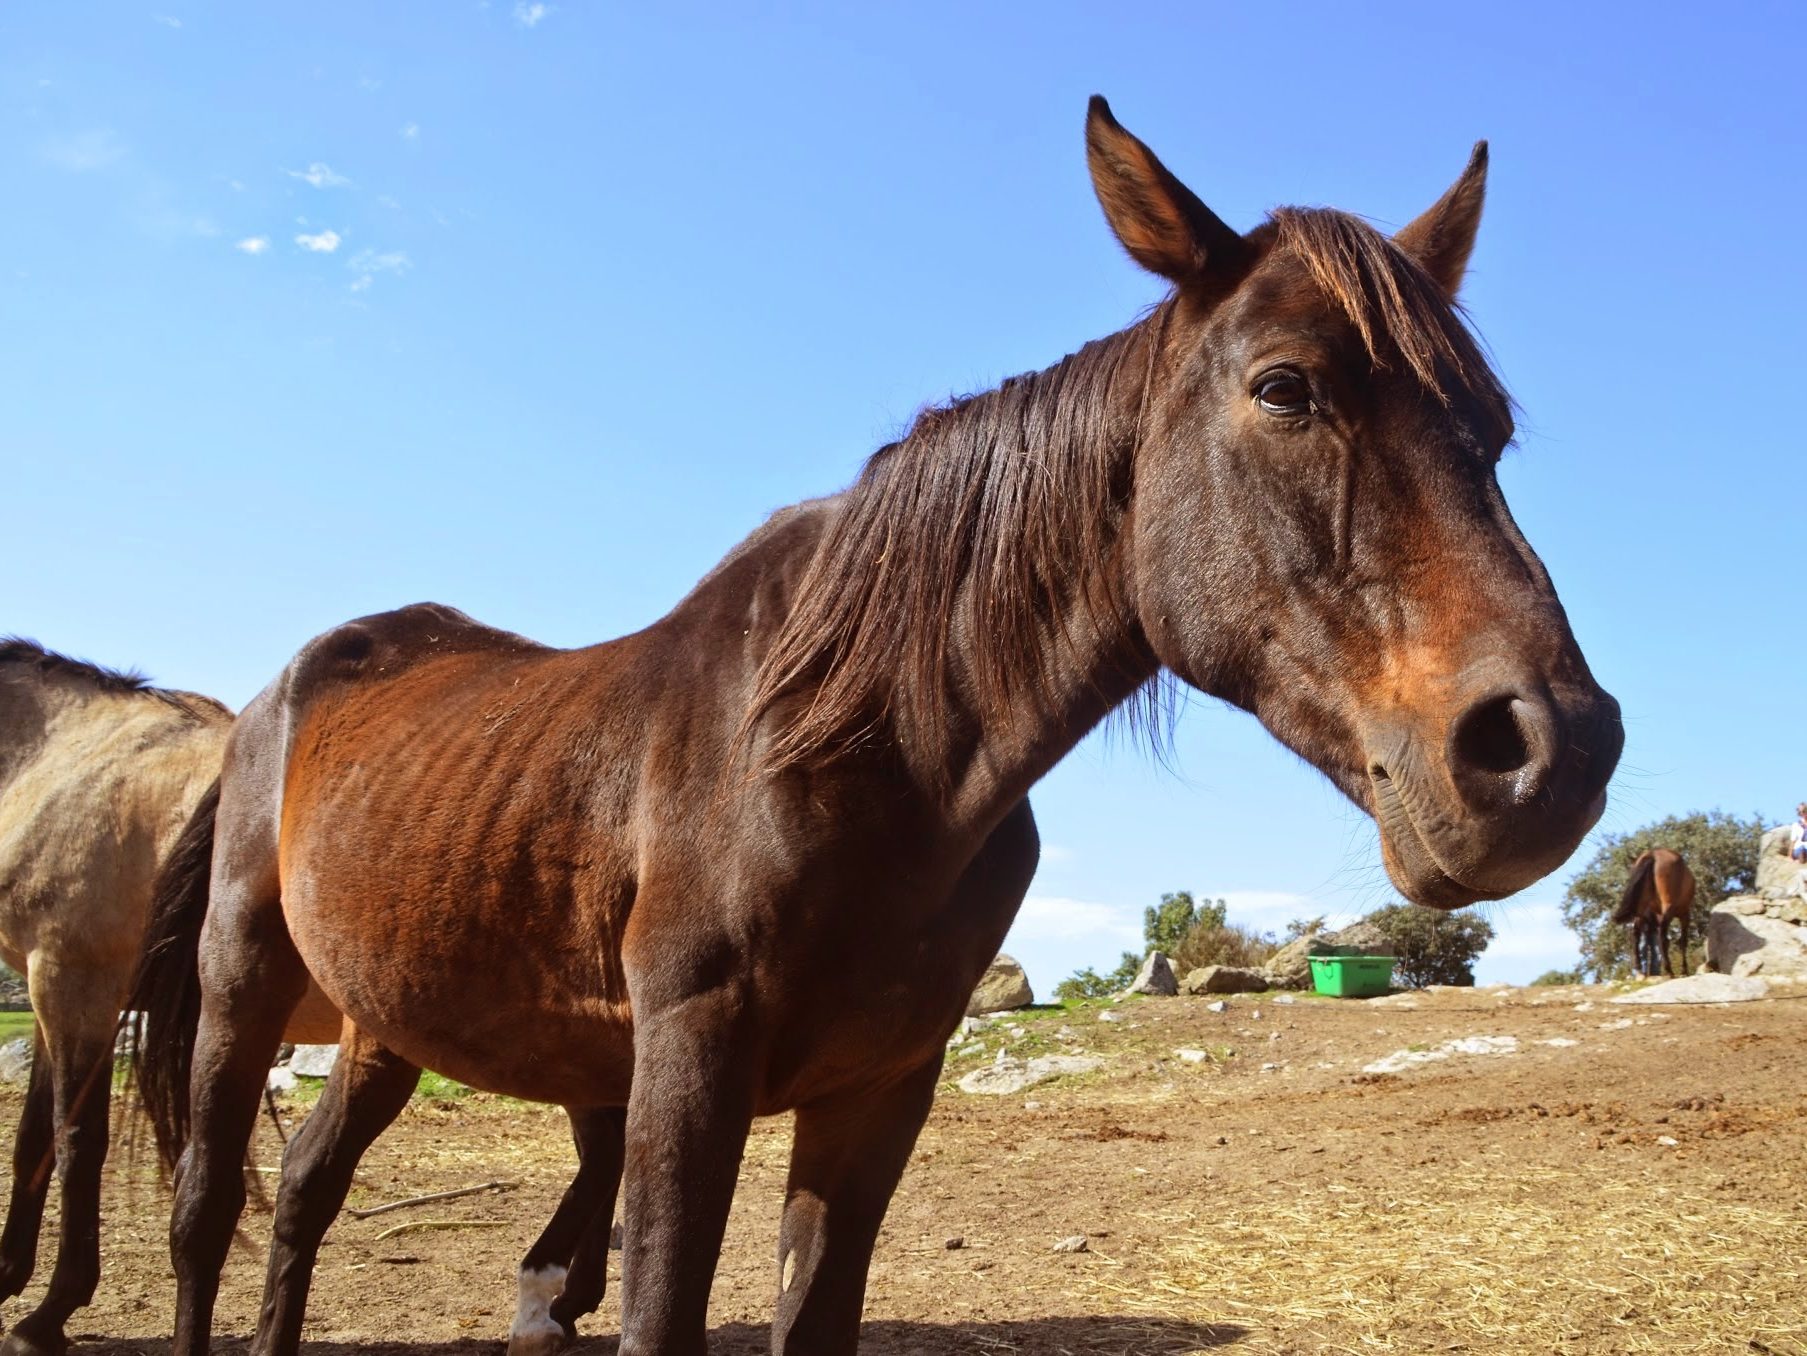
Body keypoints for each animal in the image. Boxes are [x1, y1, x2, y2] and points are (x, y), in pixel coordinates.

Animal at [131, 98, 1626, 1356]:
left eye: (1489, 431)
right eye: (1282, 388)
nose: (1547, 752)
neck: (858, 751)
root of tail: (284, 692)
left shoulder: (879, 1092)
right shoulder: (688, 1068)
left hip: (384, 1023)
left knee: (306, 1194)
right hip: (243, 984)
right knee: (209, 1215)